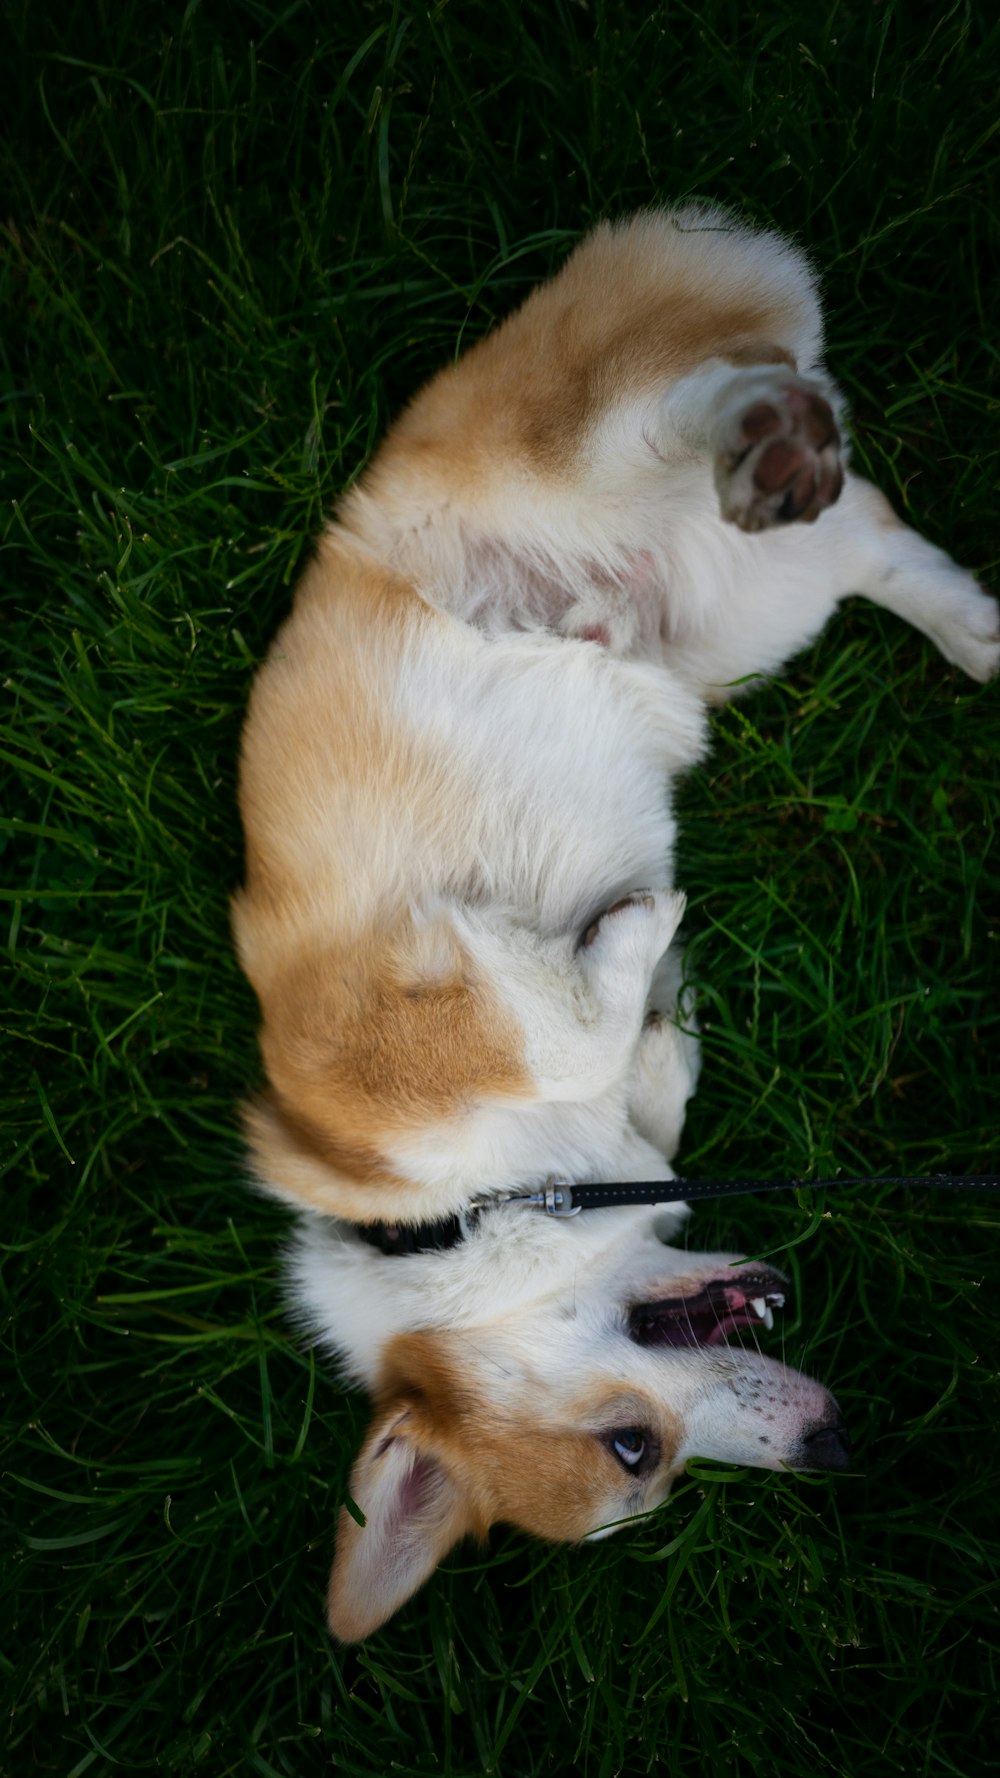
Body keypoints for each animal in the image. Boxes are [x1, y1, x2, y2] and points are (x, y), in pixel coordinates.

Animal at [231, 208, 989, 1635]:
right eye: (644, 1459)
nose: (834, 1446)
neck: (477, 1206)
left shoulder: (385, 1042)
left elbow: (553, 1014)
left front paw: (634, 936)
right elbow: (632, 1062)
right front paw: (662, 1010)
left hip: (568, 467)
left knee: (685, 402)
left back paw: (763, 435)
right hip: (752, 616)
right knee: (878, 538)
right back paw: (968, 622)